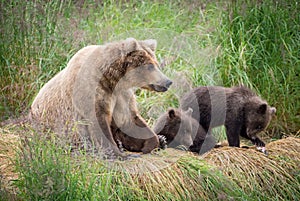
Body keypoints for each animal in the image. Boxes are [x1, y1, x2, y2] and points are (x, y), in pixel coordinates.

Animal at [29, 38, 173, 159]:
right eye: (150, 66)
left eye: (156, 64)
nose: (168, 81)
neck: (113, 80)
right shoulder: (93, 92)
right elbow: (99, 121)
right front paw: (118, 153)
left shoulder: (121, 95)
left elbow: (130, 120)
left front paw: (154, 142)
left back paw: (162, 139)